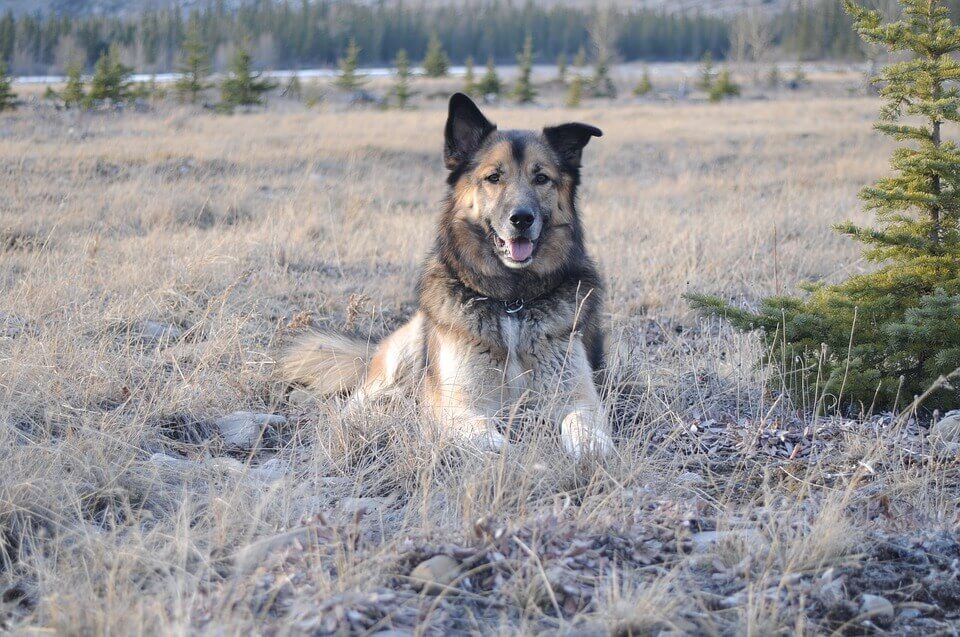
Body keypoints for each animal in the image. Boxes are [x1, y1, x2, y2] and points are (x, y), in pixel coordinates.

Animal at [284, 93, 612, 458]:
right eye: (493, 177)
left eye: (541, 179)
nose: (522, 219)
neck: (512, 302)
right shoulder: (458, 407)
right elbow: (495, 444)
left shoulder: (580, 401)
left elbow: (585, 432)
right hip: (407, 348)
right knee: (362, 400)